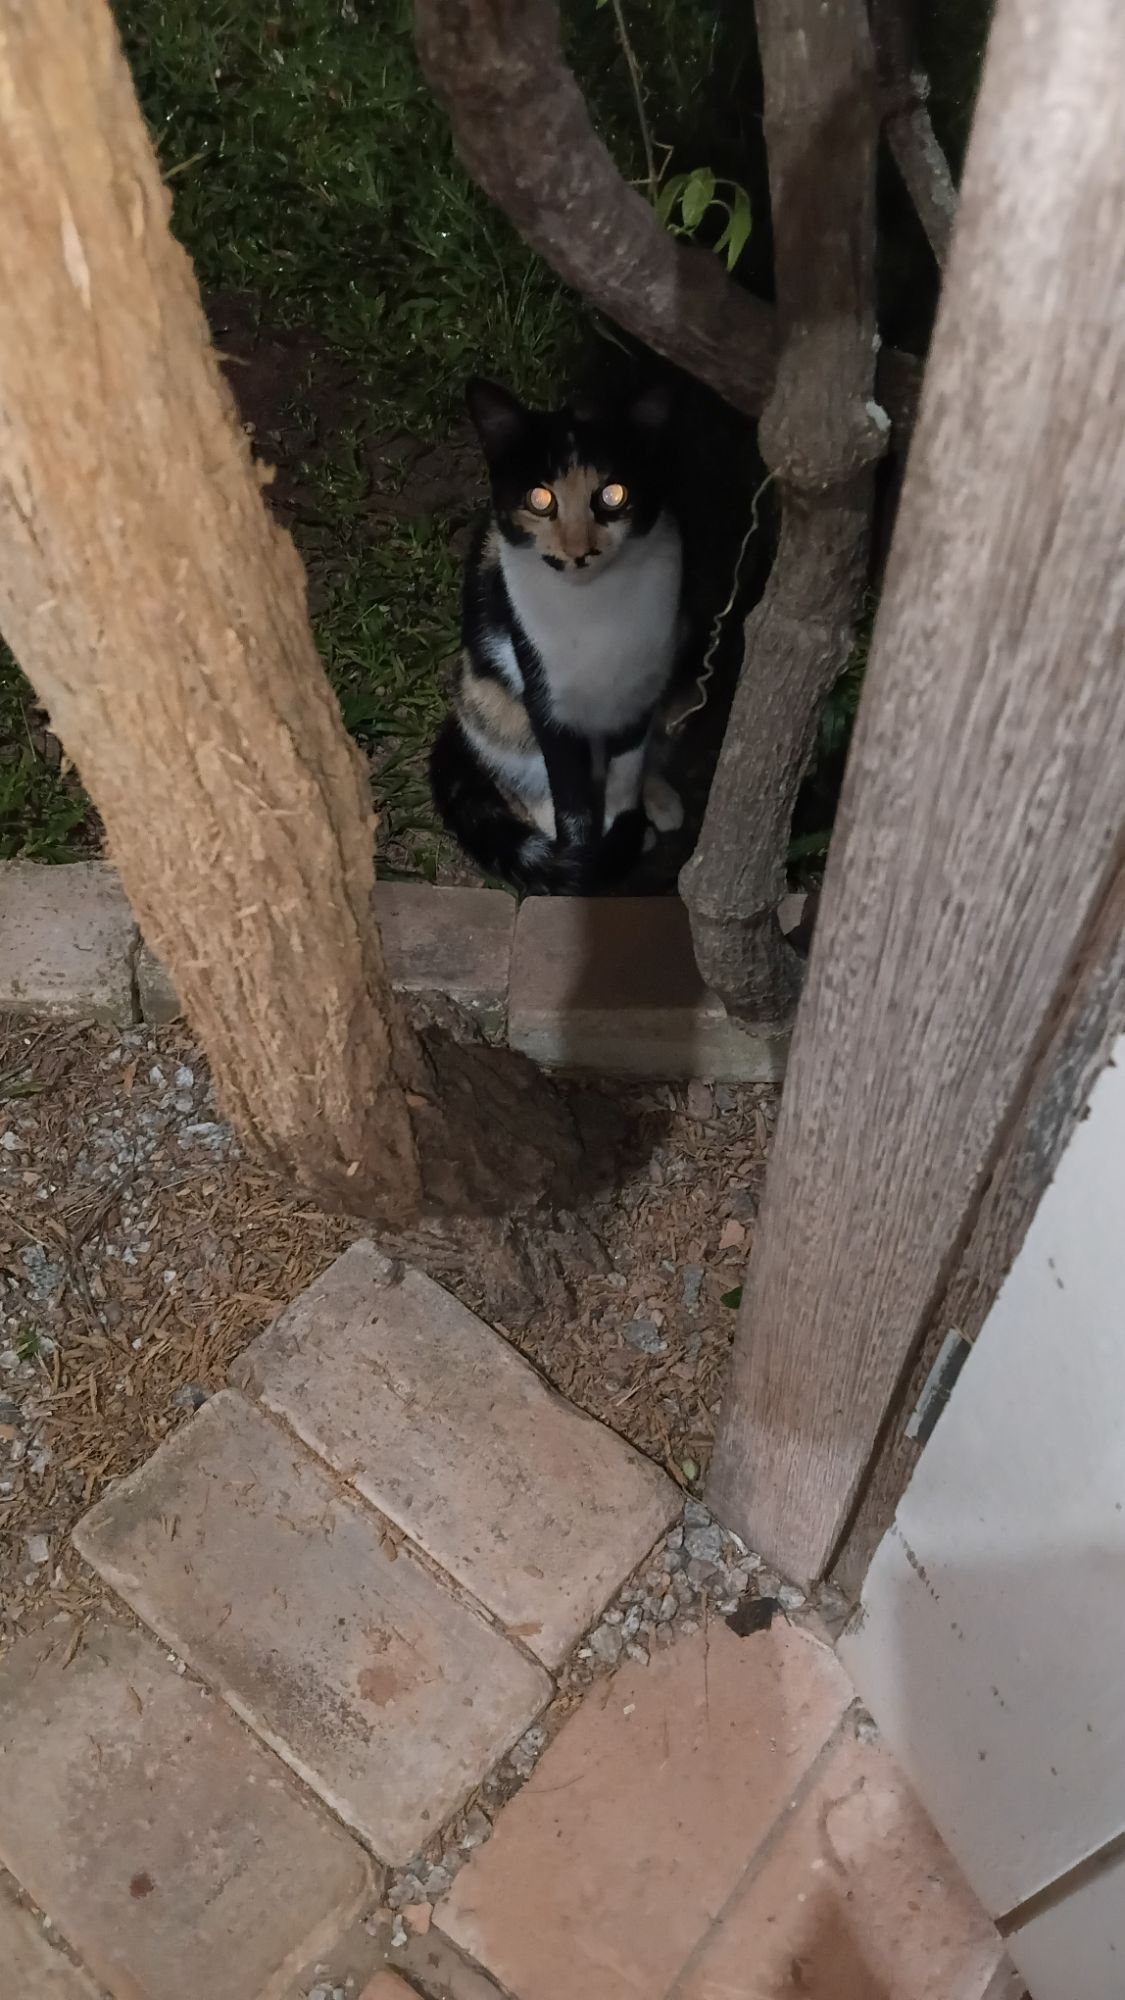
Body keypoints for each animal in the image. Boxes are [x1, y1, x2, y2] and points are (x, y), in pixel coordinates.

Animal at [429, 377, 686, 892]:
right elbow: (570, 800)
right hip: (485, 696)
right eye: (540, 499)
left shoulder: (638, 692)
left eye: (613, 494)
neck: (592, 608)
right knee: (518, 772)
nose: (578, 550)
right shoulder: (547, 703)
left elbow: (627, 771)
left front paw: (626, 821)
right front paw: (583, 861)